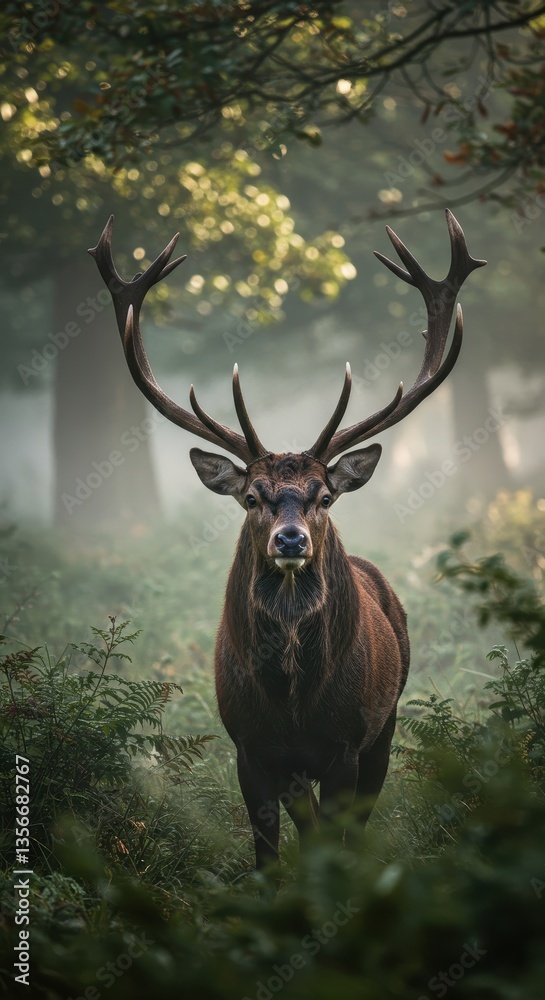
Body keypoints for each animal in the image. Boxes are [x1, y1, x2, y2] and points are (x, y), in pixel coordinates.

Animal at [89, 209, 486, 870]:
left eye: (325, 497)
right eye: (252, 497)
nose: (292, 540)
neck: (295, 703)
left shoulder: (349, 740)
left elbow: (337, 837)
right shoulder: (249, 748)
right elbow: (269, 854)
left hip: (388, 720)